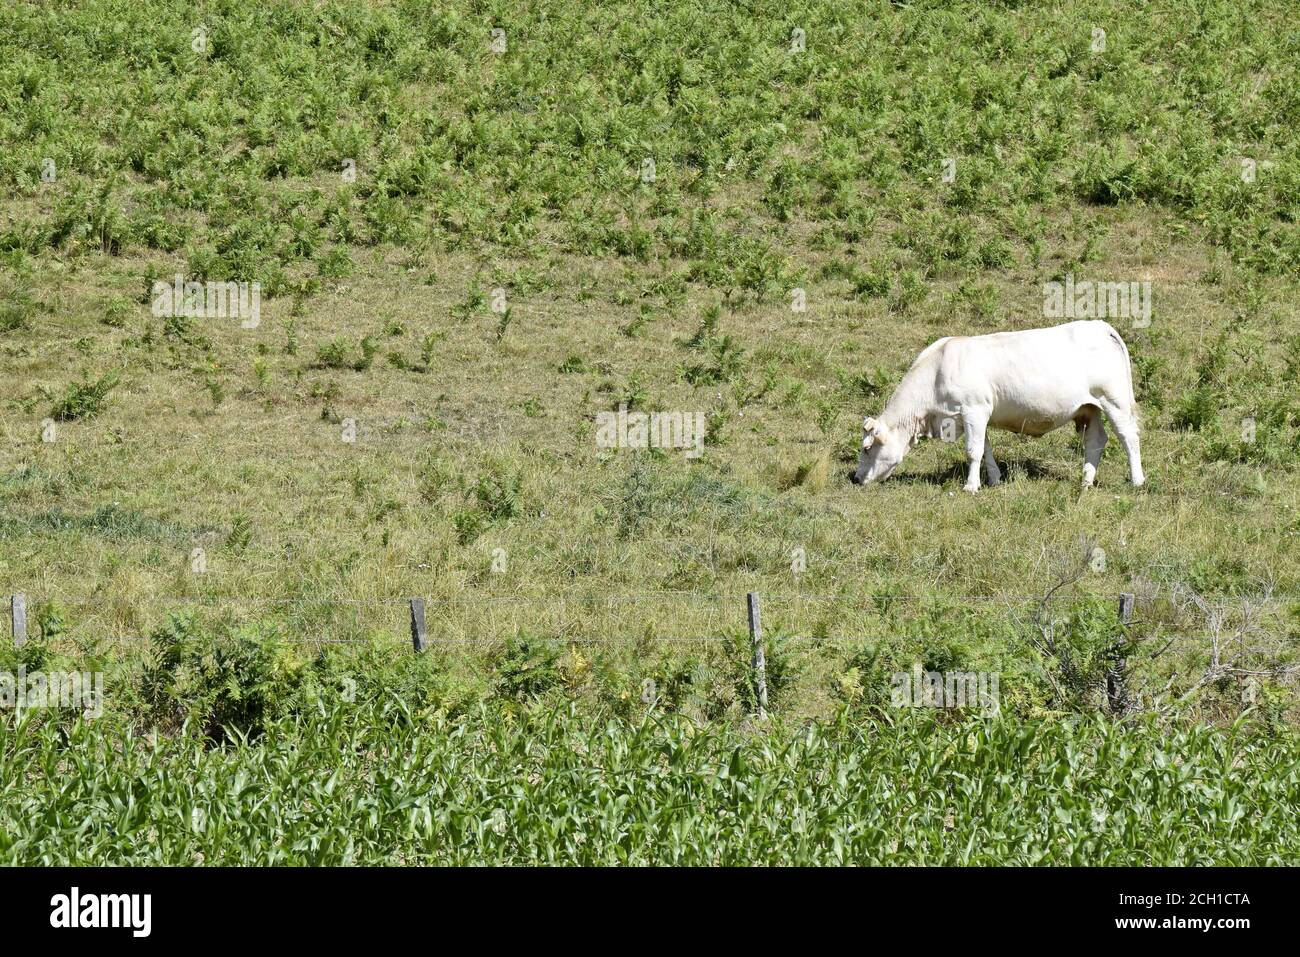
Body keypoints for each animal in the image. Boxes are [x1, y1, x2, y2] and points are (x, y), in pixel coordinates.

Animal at [852, 321, 1149, 494]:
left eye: (867, 448)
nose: (855, 478)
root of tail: (1101, 325)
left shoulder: (974, 409)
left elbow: (973, 451)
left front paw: (971, 486)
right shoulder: (976, 414)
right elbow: (985, 449)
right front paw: (993, 479)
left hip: (1114, 399)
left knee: (1128, 436)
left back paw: (1137, 481)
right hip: (1089, 407)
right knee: (1096, 440)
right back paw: (1085, 481)